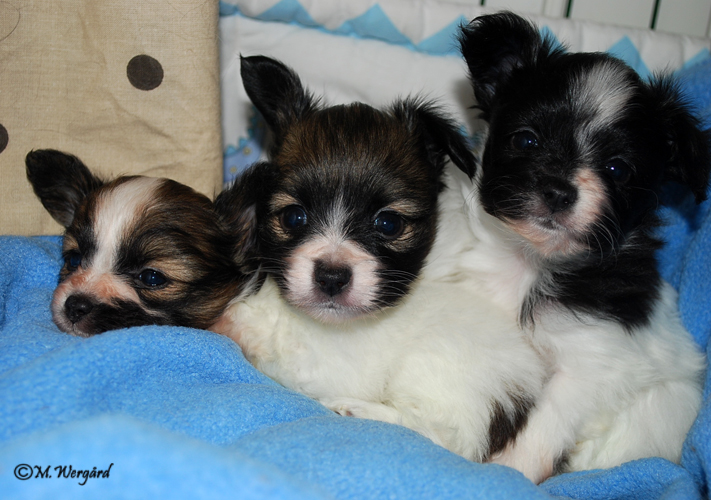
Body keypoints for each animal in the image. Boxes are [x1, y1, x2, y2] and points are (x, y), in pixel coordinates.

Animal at [212, 55, 547, 462]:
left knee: (442, 437)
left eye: (387, 224)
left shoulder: (322, 365)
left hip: (435, 375)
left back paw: (357, 410)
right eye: (293, 218)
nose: (331, 276)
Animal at [441, 12, 710, 482]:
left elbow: (545, 424)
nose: (558, 190)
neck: (532, 262)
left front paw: (512, 470)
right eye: (525, 140)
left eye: (617, 169)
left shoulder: (590, 363)